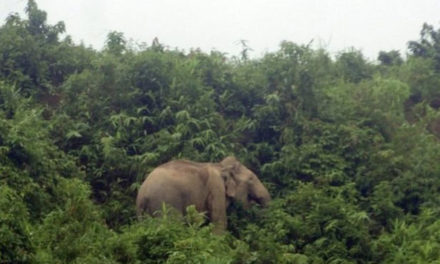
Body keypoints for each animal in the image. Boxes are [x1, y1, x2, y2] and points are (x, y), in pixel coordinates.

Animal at [136, 156, 270, 232]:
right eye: (251, 179)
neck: (220, 166)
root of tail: (143, 193)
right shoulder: (216, 188)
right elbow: (219, 222)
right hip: (165, 202)